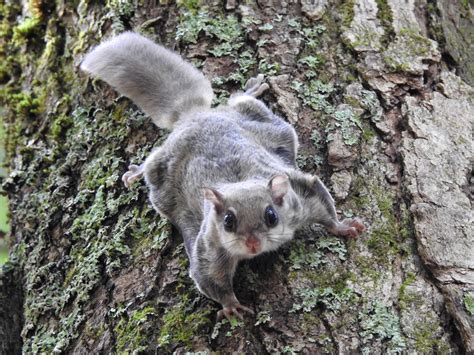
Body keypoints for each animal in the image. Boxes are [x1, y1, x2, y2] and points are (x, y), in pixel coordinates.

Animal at [80, 33, 366, 322]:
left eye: (271, 216)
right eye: (228, 221)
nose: (252, 244)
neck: (240, 182)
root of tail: (194, 115)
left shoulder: (300, 195)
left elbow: (322, 204)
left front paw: (342, 227)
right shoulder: (210, 247)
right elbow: (210, 278)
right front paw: (231, 305)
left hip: (266, 123)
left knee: (239, 102)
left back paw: (250, 90)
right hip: (161, 172)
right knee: (153, 161)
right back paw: (137, 171)